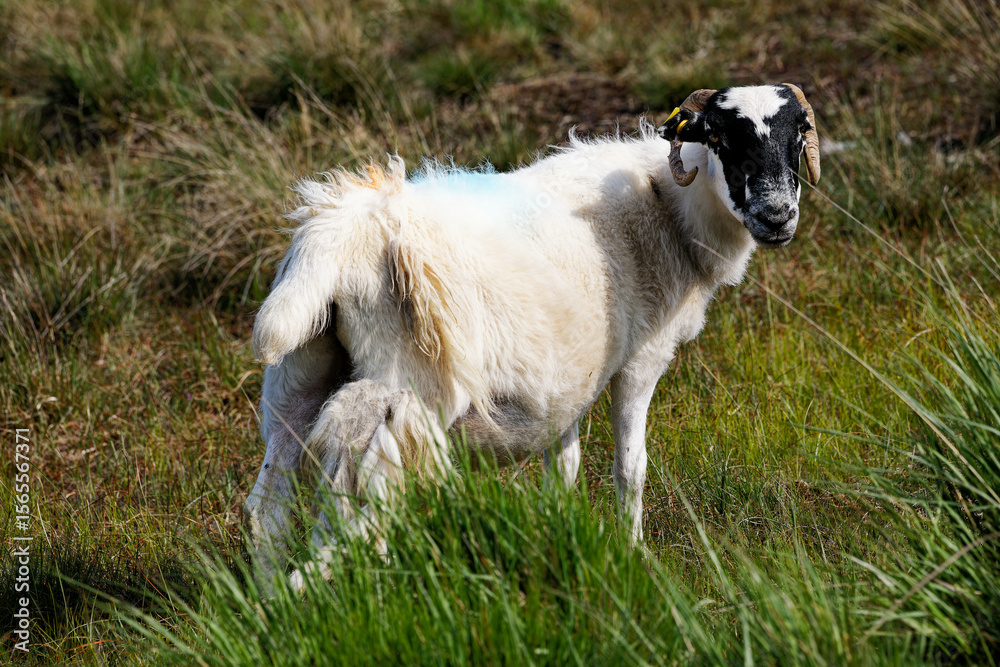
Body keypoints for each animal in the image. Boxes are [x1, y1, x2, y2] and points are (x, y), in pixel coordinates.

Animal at [246, 83, 821, 590]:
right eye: (720, 137)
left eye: (798, 134)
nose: (777, 217)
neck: (667, 206)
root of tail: (346, 231)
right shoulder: (642, 359)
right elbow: (630, 468)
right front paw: (634, 553)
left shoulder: (566, 381)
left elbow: (562, 468)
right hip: (408, 390)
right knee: (361, 508)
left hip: (297, 377)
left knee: (270, 504)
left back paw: (272, 604)